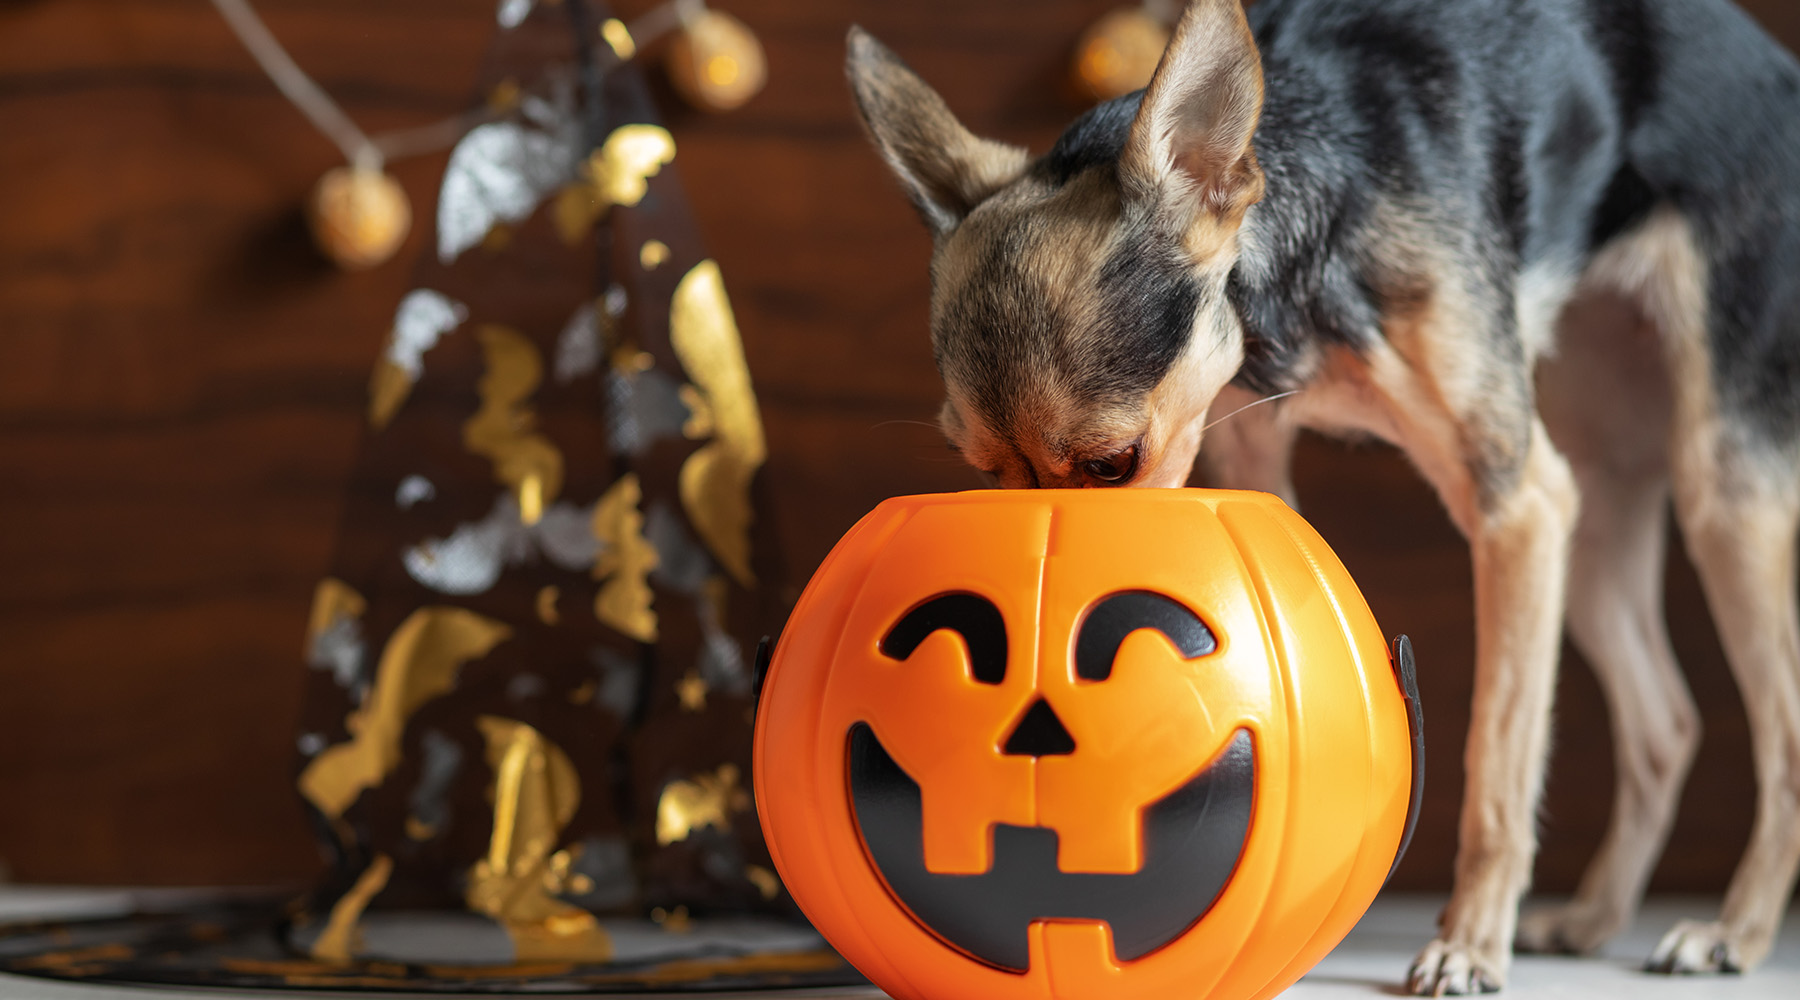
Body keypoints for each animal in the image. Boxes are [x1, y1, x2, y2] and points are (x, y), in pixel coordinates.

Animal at [842, 0, 1800, 985]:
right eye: (982, 476)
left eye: (1113, 464)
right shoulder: (1261, 463)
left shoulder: (1517, 503)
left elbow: (1498, 762)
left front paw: (1466, 943)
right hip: (1600, 506)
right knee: (1669, 722)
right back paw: (1596, 918)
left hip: (1718, 491)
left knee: (1784, 736)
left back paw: (1735, 931)